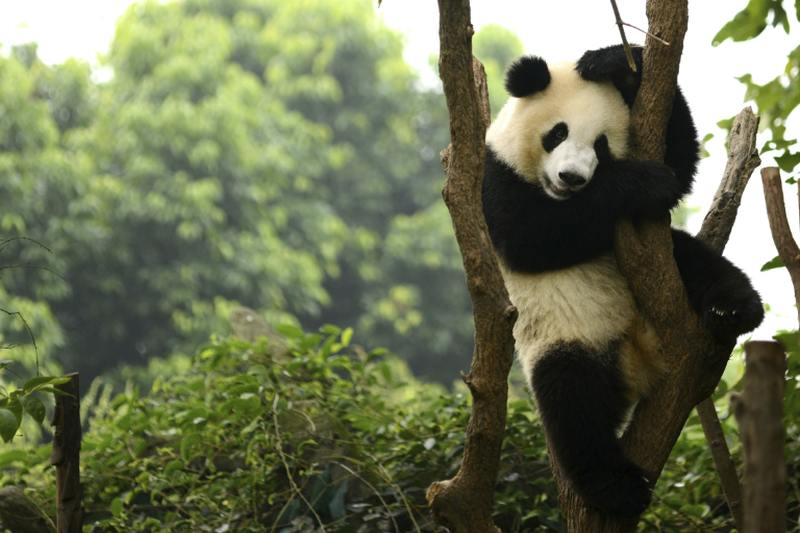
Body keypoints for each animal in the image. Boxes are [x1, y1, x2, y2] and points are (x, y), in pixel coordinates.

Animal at [481, 45, 764, 517]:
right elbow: (529, 235)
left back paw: (734, 308)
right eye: (557, 133)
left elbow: (680, 159)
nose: (572, 178)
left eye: (602, 145)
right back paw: (618, 489)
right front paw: (642, 182)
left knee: (694, 259)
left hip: (669, 272)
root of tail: (639, 360)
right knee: (574, 405)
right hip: (567, 338)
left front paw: (614, 63)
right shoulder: (493, 177)